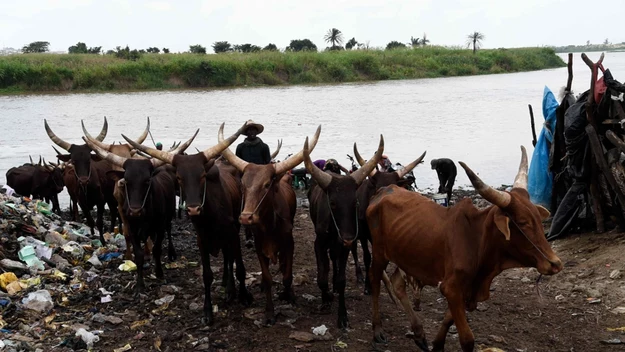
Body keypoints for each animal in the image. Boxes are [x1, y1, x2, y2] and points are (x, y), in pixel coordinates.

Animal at [122, 123, 254, 324]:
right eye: (179, 177)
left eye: (202, 176)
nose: (193, 209)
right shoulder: (202, 239)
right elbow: (207, 275)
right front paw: (207, 311)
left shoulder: (232, 233)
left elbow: (238, 266)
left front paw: (244, 296)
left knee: (229, 258)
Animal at [218, 123, 322, 324]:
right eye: (242, 184)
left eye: (266, 185)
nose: (246, 217)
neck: (270, 226)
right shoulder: (260, 247)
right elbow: (266, 279)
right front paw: (269, 313)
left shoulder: (289, 244)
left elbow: (288, 275)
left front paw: (289, 296)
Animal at [304, 134, 386, 328]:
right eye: (332, 203)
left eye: (355, 202)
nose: (348, 238)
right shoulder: (319, 243)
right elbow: (321, 277)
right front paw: (326, 297)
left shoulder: (344, 247)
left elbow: (341, 280)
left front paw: (342, 315)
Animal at [364, 146, 564, 352]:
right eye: (523, 222)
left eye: (538, 220)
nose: (555, 264)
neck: (476, 241)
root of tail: (383, 190)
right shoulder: (451, 288)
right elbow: (467, 339)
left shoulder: (464, 290)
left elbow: (447, 320)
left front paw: (437, 345)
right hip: (379, 252)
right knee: (375, 281)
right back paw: (377, 330)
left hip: (404, 256)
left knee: (397, 283)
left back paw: (419, 334)